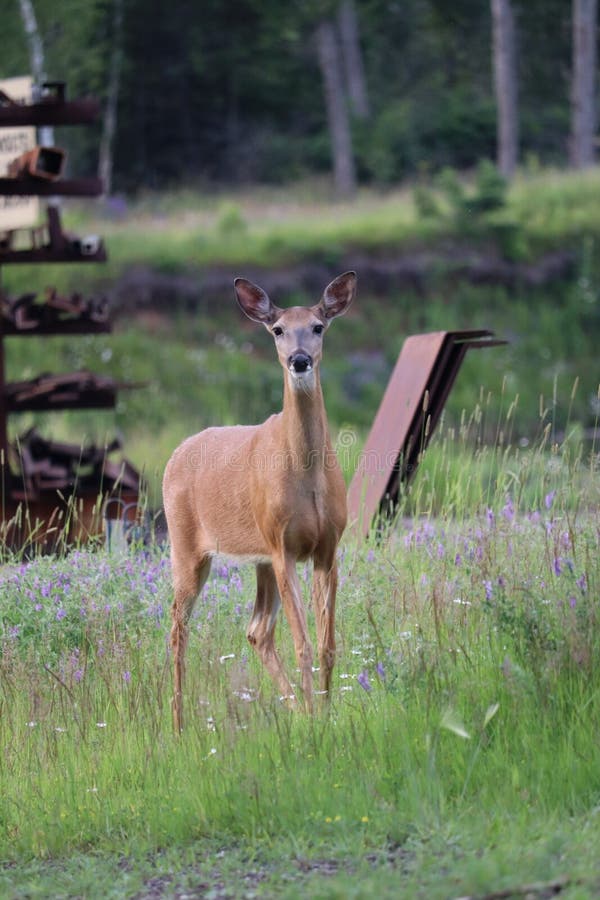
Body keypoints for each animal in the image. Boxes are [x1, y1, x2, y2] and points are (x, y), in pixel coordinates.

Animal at [163, 268, 356, 732]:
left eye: (318, 326)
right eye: (278, 329)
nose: (299, 360)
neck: (308, 476)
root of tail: (174, 455)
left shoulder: (327, 546)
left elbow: (327, 643)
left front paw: (325, 714)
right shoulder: (283, 545)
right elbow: (303, 643)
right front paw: (317, 718)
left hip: (260, 558)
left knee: (256, 630)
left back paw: (296, 709)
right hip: (188, 547)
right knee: (178, 627)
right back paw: (177, 726)